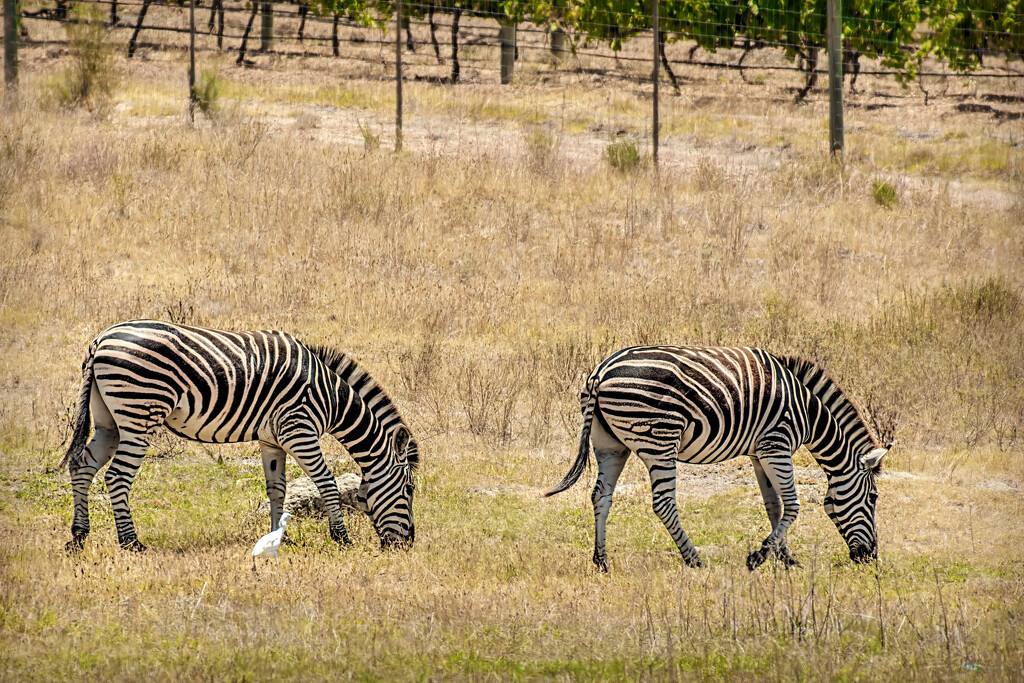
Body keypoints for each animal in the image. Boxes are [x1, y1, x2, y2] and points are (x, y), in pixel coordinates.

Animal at [58, 323, 417, 552]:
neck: (331, 398)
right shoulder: (299, 431)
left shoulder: (272, 439)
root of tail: (101, 340)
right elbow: (327, 483)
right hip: (139, 413)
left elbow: (277, 489)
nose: (407, 543)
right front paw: (341, 538)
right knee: (117, 476)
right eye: (410, 490)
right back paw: (131, 543)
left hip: (109, 422)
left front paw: (277, 538)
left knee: (82, 466)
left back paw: (78, 537)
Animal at [548, 348, 892, 573]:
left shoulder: (759, 452)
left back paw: (602, 561)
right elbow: (793, 505)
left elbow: (774, 506)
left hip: (610, 444)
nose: (870, 558)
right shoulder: (776, 444)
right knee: (663, 504)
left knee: (601, 496)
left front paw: (784, 558)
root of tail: (600, 372)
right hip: (660, 439)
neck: (809, 413)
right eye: (873, 497)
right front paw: (758, 557)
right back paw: (694, 560)